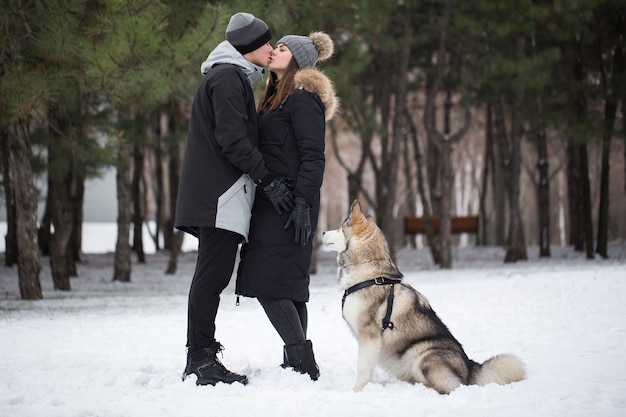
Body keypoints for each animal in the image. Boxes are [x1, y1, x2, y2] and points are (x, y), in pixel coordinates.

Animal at [322, 201, 520, 394]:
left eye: (340, 228)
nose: (322, 232)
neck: (369, 272)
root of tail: (470, 367)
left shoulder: (368, 334)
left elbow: (363, 367)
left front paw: (356, 391)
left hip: (422, 354)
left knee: (449, 387)